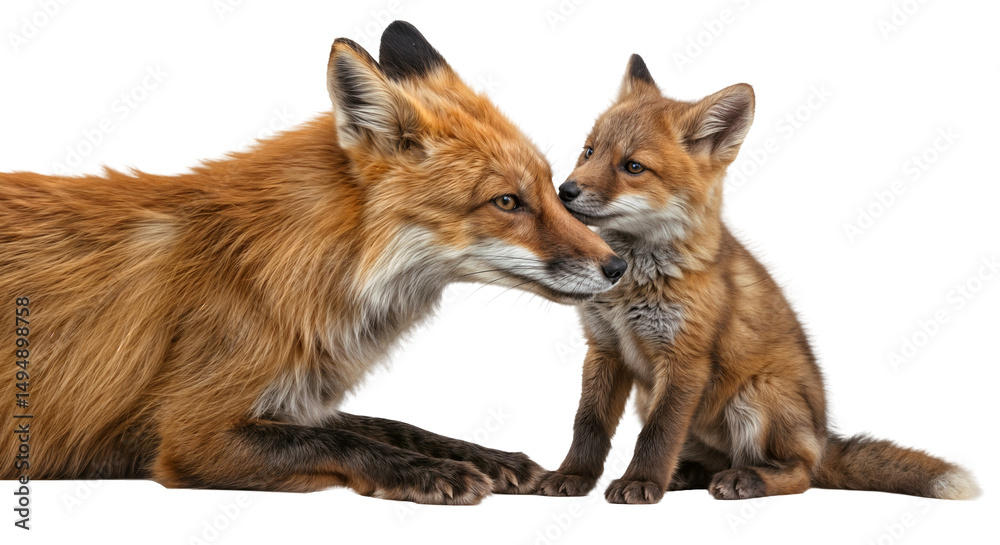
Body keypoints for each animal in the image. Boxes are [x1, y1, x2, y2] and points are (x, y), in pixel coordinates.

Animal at [0, 21, 629, 505]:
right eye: (506, 202)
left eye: (552, 189)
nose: (617, 266)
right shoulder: (190, 435)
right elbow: (344, 442)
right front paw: (429, 473)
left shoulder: (294, 399)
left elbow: (393, 425)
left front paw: (485, 456)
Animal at [536, 54, 980, 503]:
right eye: (589, 151)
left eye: (633, 167)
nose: (564, 191)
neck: (634, 284)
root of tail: (822, 437)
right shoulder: (604, 348)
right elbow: (588, 425)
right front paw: (573, 474)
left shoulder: (685, 359)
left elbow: (658, 434)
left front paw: (641, 481)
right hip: (665, 402)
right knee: (714, 461)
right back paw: (686, 474)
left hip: (756, 394)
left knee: (799, 475)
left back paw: (746, 479)